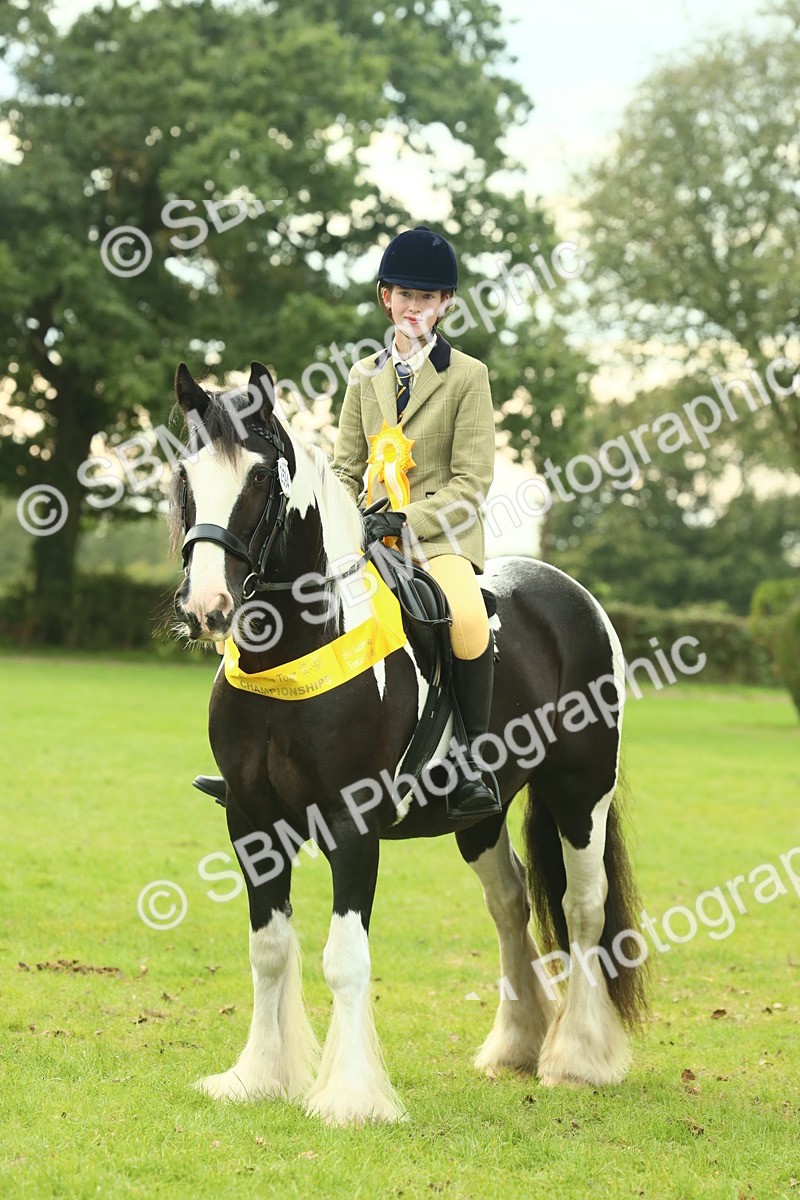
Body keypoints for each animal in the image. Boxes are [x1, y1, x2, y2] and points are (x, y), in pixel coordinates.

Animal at [168, 361, 648, 1125]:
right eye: (186, 475)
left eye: (261, 477)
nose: (206, 608)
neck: (297, 650)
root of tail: (571, 594)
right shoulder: (251, 822)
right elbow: (268, 948)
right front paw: (259, 1077)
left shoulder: (351, 824)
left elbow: (345, 958)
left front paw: (350, 1098)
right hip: (480, 816)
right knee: (510, 902)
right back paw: (518, 1046)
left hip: (581, 792)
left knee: (583, 906)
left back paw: (577, 1059)